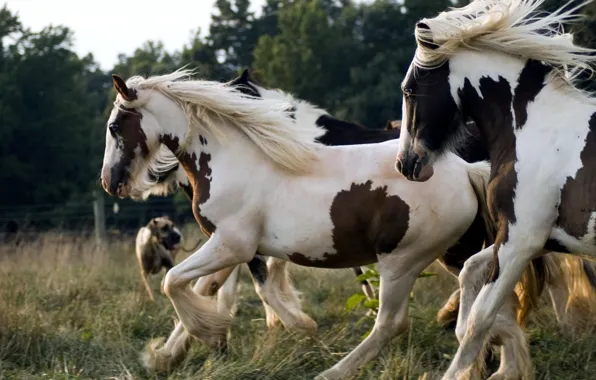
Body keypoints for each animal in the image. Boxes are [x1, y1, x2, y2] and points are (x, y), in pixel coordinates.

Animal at [394, 0, 596, 378]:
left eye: (409, 89)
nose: (406, 164)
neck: (535, 129)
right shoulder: (532, 238)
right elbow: (470, 272)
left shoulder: (521, 240)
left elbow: (480, 318)